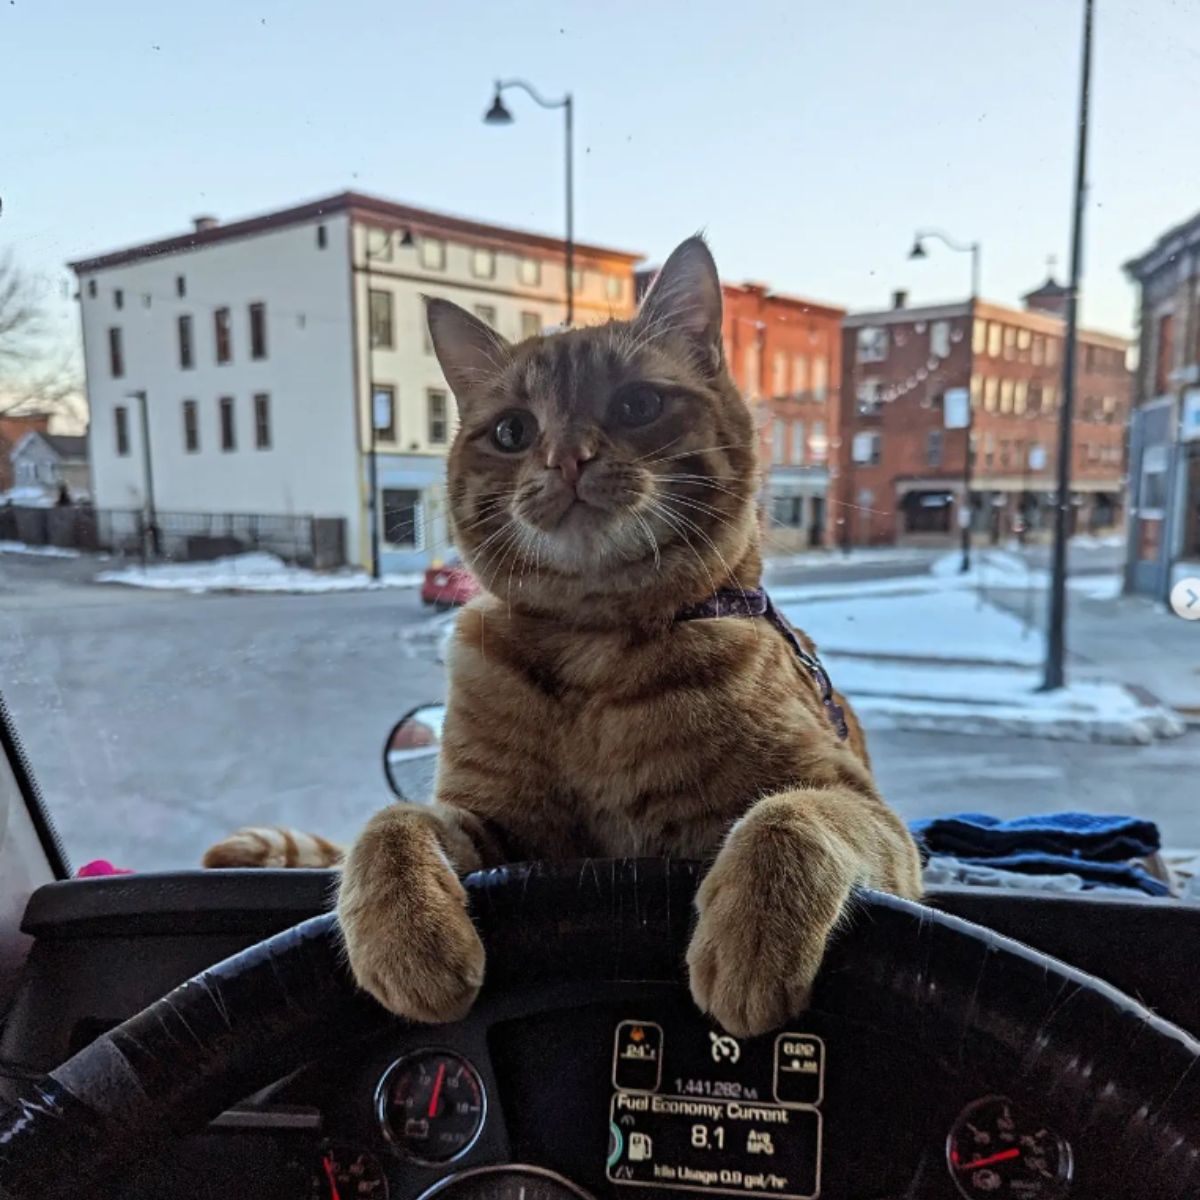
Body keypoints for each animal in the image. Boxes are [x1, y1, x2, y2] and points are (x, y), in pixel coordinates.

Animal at [206, 238, 916, 1036]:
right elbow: (393, 821)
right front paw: (408, 936)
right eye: (512, 431)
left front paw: (753, 933)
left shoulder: (868, 813)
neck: (593, 654)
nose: (566, 458)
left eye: (638, 405)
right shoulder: (499, 830)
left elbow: (788, 814)